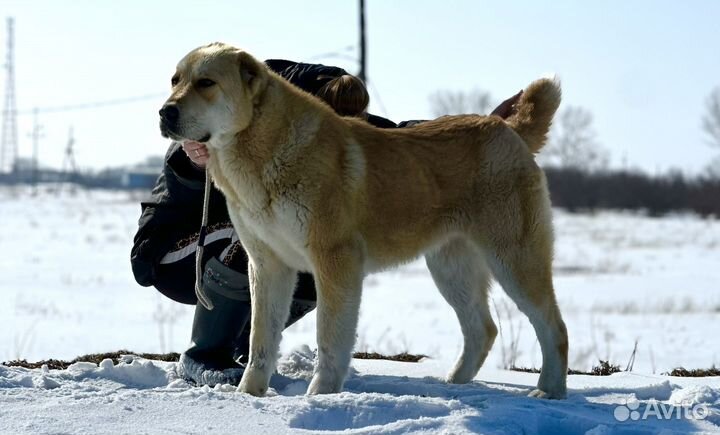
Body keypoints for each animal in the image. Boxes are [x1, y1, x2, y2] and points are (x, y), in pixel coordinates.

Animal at [160, 42, 572, 400]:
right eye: (175, 80)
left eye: (206, 83)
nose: (165, 112)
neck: (262, 150)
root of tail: (507, 129)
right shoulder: (267, 265)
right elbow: (261, 339)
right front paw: (249, 396)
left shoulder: (335, 261)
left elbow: (330, 338)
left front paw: (320, 397)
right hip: (450, 268)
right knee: (483, 329)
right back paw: (454, 384)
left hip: (514, 260)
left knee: (554, 326)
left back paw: (548, 391)